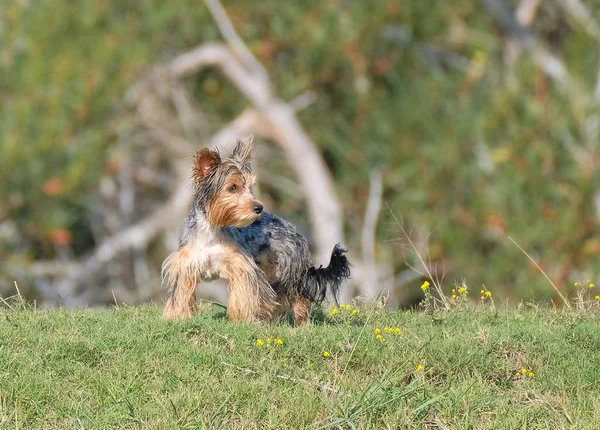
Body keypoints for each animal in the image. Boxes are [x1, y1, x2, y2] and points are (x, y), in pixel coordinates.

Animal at [163, 136, 352, 324]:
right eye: (233, 187)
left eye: (250, 187)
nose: (259, 207)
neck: (212, 229)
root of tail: (297, 232)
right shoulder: (186, 267)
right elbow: (181, 295)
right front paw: (177, 317)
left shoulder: (242, 267)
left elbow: (242, 295)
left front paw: (243, 319)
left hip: (288, 271)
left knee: (298, 297)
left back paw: (301, 324)